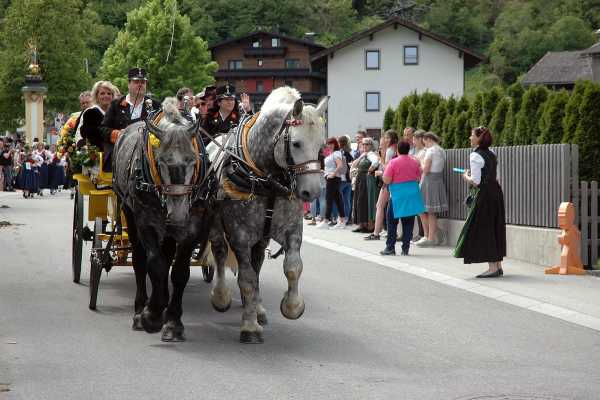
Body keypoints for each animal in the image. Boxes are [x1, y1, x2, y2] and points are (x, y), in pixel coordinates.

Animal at [112, 98, 211, 342]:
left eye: (193, 160)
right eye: (161, 162)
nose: (178, 214)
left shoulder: (192, 226)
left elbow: (179, 272)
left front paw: (173, 321)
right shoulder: (146, 221)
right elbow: (155, 265)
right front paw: (152, 315)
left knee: (166, 256)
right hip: (129, 211)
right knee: (140, 261)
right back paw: (140, 310)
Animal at [206, 87, 328, 344]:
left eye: (321, 145)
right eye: (296, 143)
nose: (312, 192)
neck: (266, 179)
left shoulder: (292, 229)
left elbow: (293, 267)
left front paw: (292, 306)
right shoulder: (239, 234)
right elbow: (247, 279)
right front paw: (249, 327)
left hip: (261, 238)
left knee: (258, 262)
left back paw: (258, 308)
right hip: (215, 224)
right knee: (220, 254)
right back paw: (222, 297)